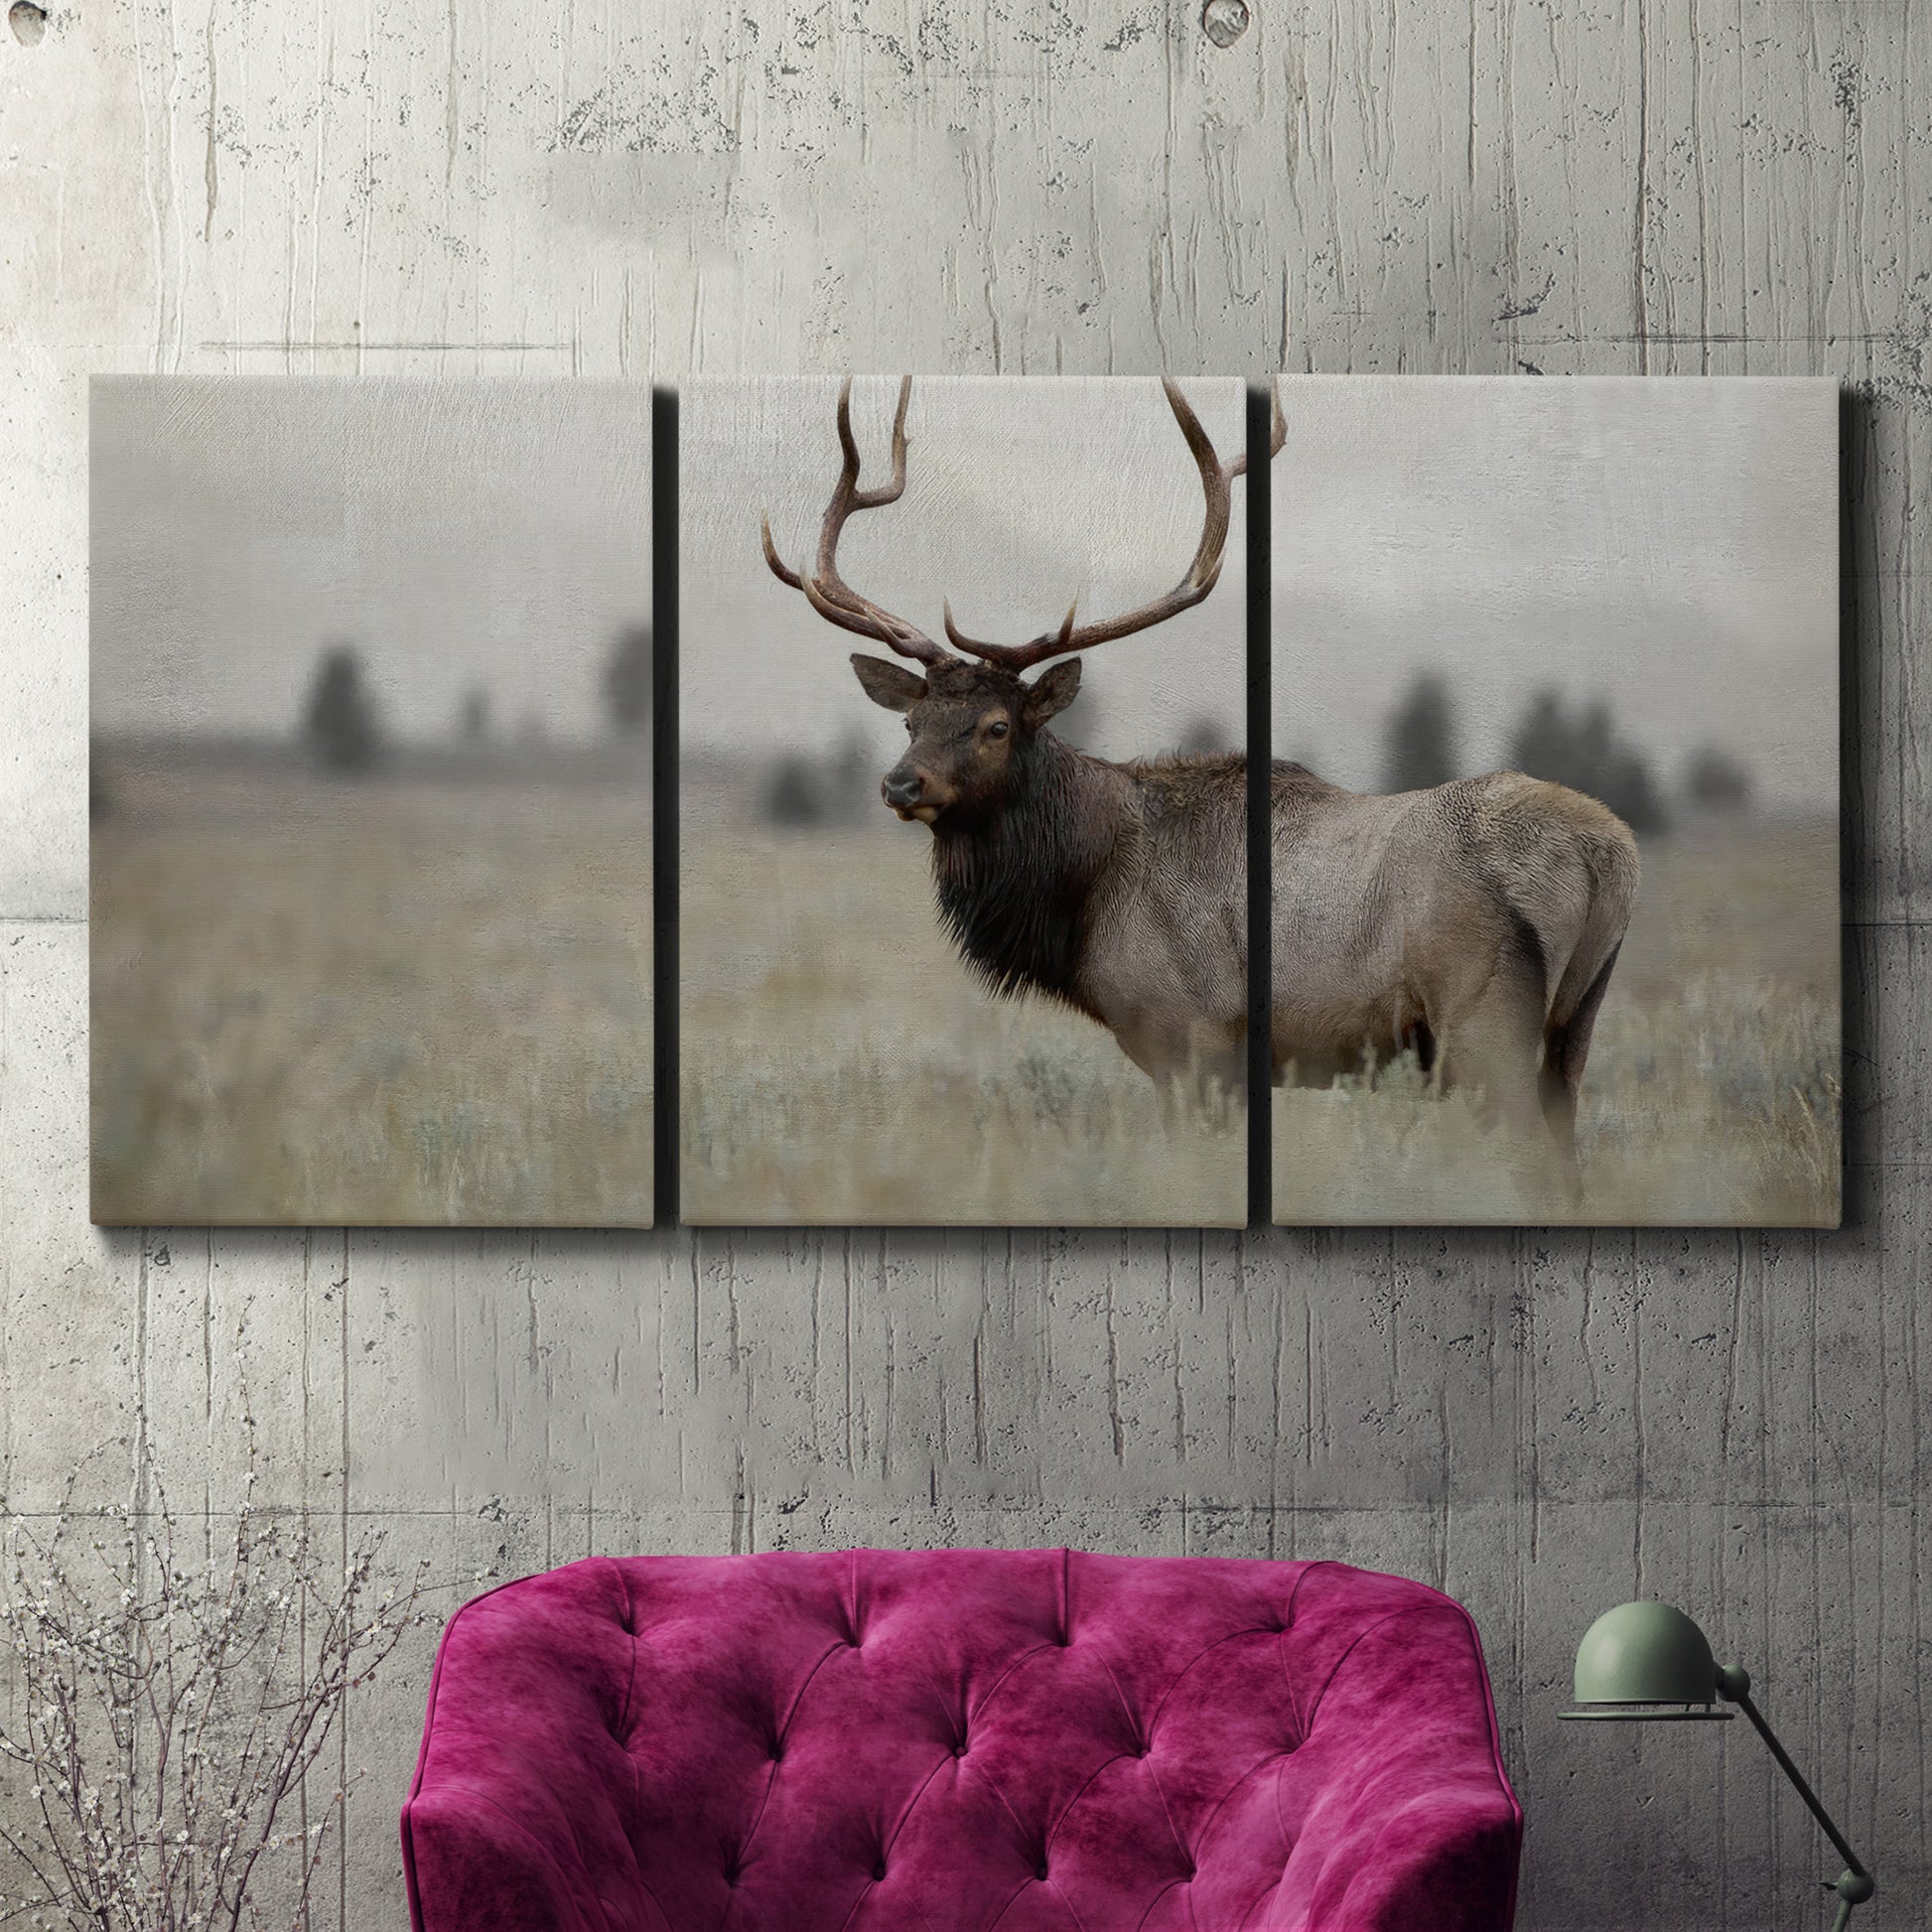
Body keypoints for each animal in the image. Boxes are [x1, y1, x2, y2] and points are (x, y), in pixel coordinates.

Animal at [761, 376, 1639, 1177]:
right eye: (911, 723)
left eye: (996, 727)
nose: (900, 786)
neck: (1084, 893)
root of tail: (1608, 855)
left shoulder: (1189, 1038)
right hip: (1575, 1026)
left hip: (1483, 1020)